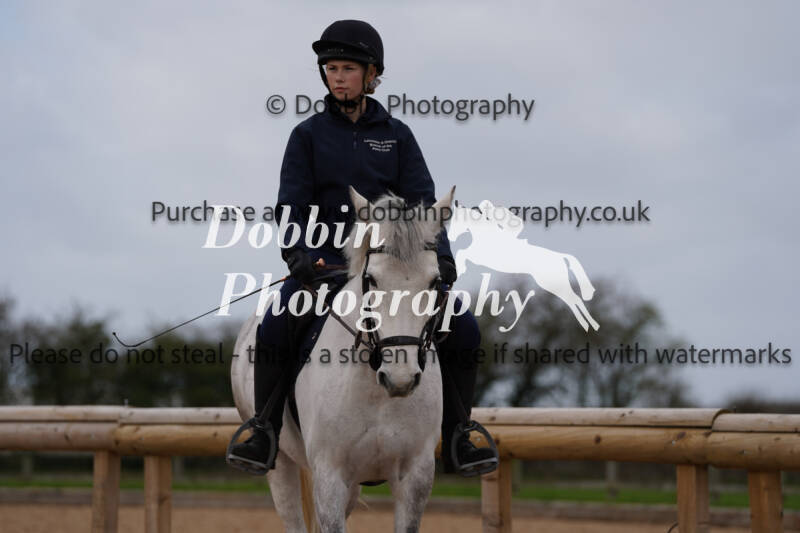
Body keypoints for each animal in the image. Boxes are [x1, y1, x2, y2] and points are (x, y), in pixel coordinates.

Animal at [231, 185, 455, 532]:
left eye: (434, 281)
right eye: (372, 279)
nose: (400, 378)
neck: (377, 392)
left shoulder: (416, 477)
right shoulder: (329, 478)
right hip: (282, 465)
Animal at [448, 200, 599, 332]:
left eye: (456, 221)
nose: (450, 238)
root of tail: (560, 256)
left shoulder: (480, 256)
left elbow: (463, 252)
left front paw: (460, 269)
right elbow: (463, 252)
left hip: (551, 283)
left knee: (574, 299)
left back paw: (588, 324)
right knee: (573, 299)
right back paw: (590, 325)